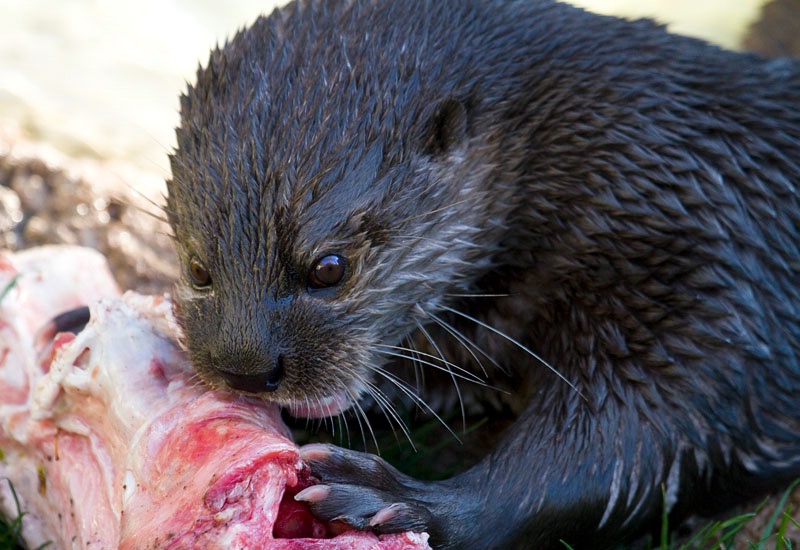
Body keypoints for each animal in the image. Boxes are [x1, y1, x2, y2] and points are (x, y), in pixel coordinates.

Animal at [164, 2, 800, 548]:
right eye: (197, 266)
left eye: (329, 268)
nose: (245, 368)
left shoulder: (709, 288)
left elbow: (632, 446)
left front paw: (397, 498)